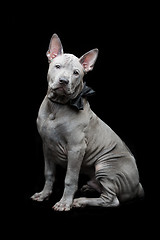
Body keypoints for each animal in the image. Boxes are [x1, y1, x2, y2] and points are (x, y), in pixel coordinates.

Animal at [31, 33, 144, 210]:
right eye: (57, 66)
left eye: (76, 72)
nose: (64, 81)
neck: (57, 106)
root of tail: (138, 186)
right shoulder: (47, 146)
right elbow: (49, 173)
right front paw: (43, 195)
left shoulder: (76, 149)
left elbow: (70, 179)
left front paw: (65, 202)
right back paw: (90, 187)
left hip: (106, 165)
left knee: (111, 199)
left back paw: (81, 201)